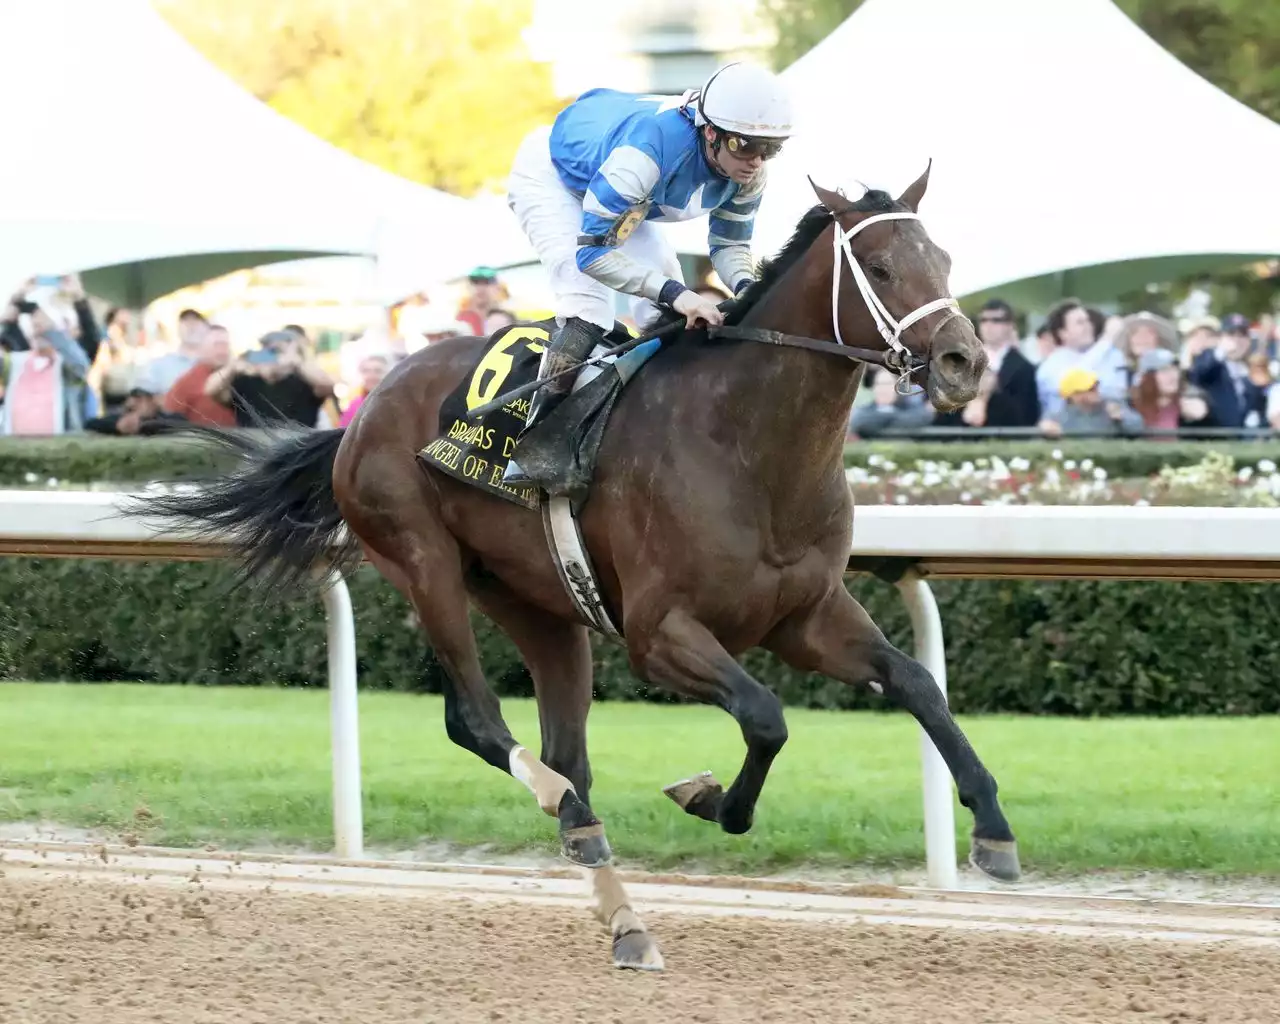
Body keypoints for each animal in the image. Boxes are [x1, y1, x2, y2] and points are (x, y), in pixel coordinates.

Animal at [132, 170, 1018, 977]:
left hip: (541, 607)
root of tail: (364, 405)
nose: (963, 361)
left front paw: (994, 831)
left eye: (941, 256)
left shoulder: (807, 616)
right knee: (481, 723)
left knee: (565, 749)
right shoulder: (660, 634)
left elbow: (917, 683)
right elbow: (767, 717)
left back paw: (620, 911)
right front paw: (711, 799)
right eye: (879, 265)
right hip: (423, 561)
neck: (748, 445)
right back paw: (568, 814)